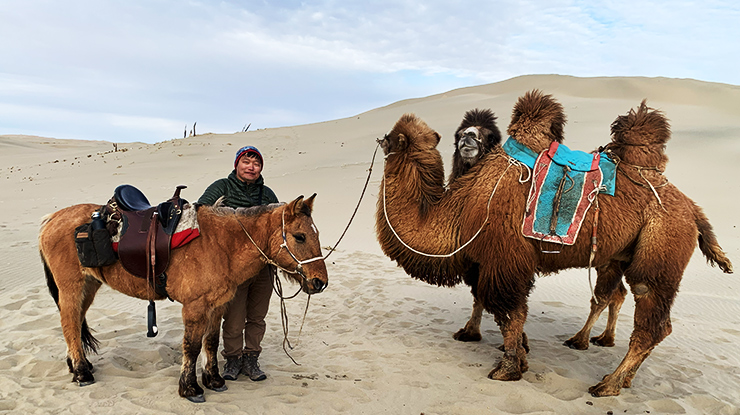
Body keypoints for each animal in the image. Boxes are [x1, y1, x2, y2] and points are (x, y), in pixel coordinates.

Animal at [39, 195, 328, 402]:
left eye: (316, 234)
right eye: (299, 236)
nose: (320, 282)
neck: (221, 244)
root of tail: (51, 219)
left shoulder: (218, 305)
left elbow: (211, 342)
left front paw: (214, 379)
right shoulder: (195, 307)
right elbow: (192, 346)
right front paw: (190, 388)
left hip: (88, 287)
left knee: (75, 323)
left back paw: (77, 364)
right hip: (72, 288)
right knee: (69, 324)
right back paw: (81, 371)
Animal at [375, 90, 732, 396]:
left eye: (390, 137)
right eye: (460, 133)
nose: (467, 138)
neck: (462, 206)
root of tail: (693, 209)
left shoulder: (505, 259)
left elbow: (508, 312)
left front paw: (508, 368)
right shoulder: (488, 260)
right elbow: (497, 306)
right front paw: (508, 351)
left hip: (662, 245)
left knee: (649, 318)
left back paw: (607, 383)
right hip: (624, 254)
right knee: (631, 305)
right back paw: (614, 368)